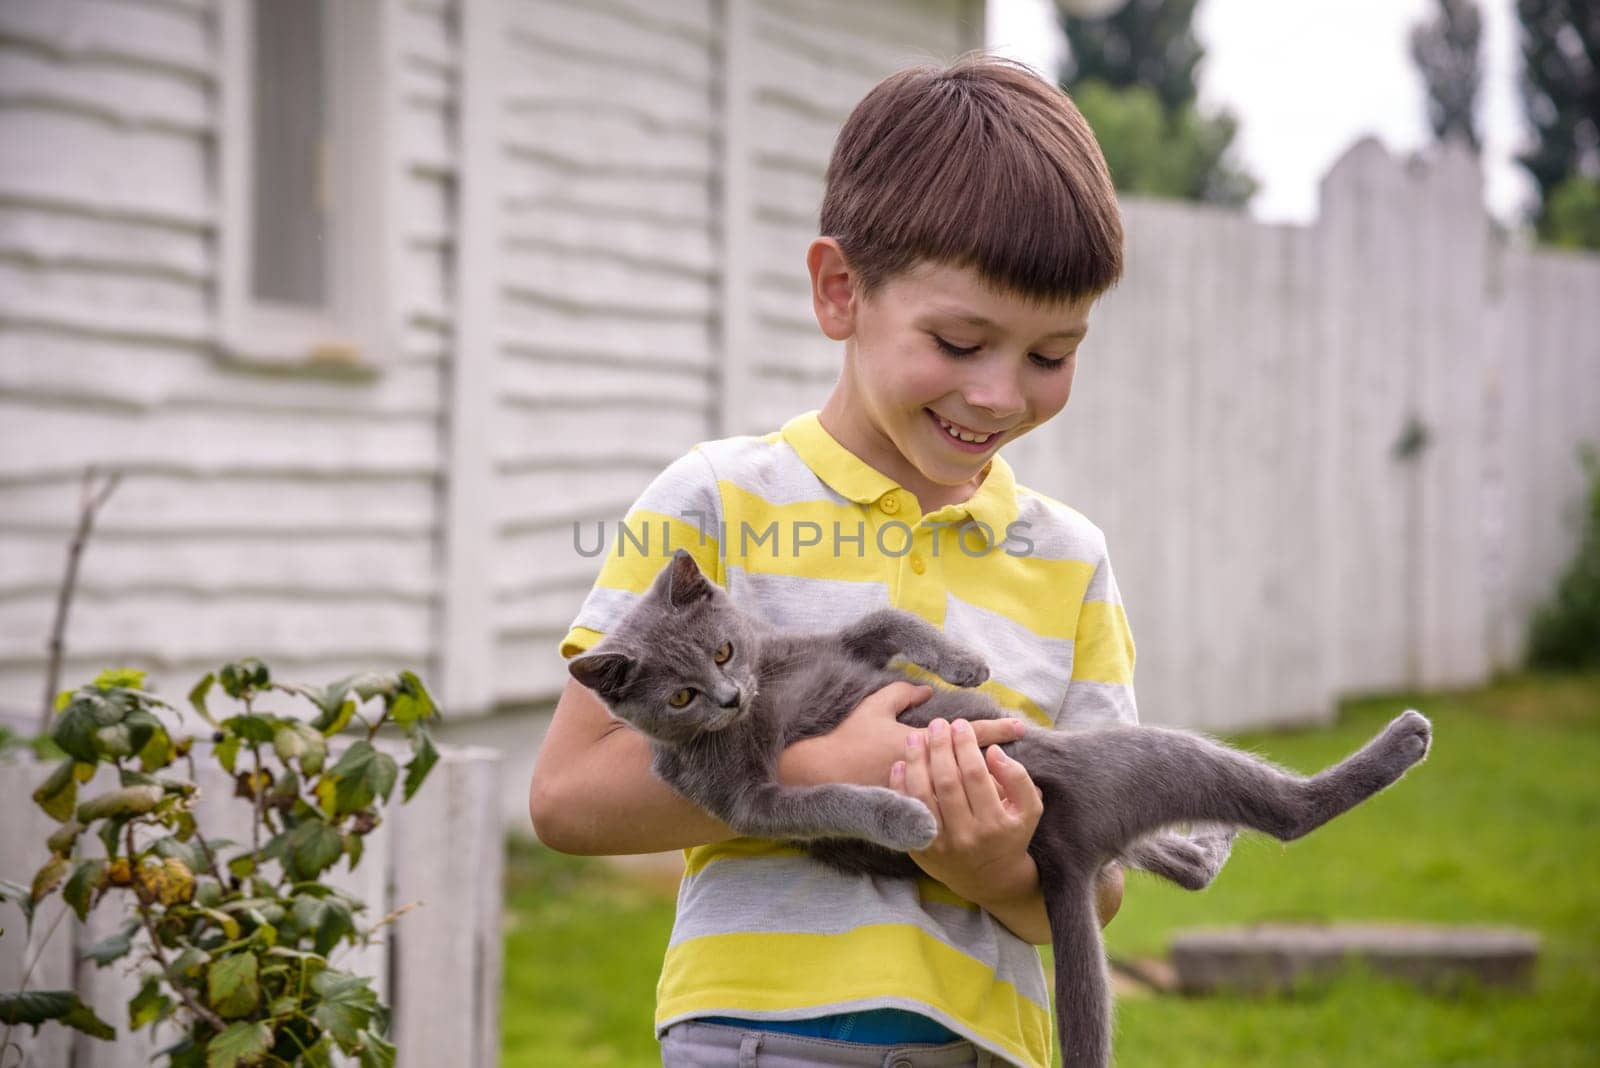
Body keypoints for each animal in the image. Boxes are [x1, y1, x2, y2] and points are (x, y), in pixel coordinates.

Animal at [576, 549, 1440, 1068]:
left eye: (723, 651)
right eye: (681, 696)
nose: (728, 698)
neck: (767, 694)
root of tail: (1063, 854)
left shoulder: (832, 646)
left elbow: (887, 619)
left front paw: (964, 660)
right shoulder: (746, 799)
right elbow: (830, 796)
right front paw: (910, 817)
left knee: (1185, 856)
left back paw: (1207, 842)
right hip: (1126, 757)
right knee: (1285, 812)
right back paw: (1401, 739)